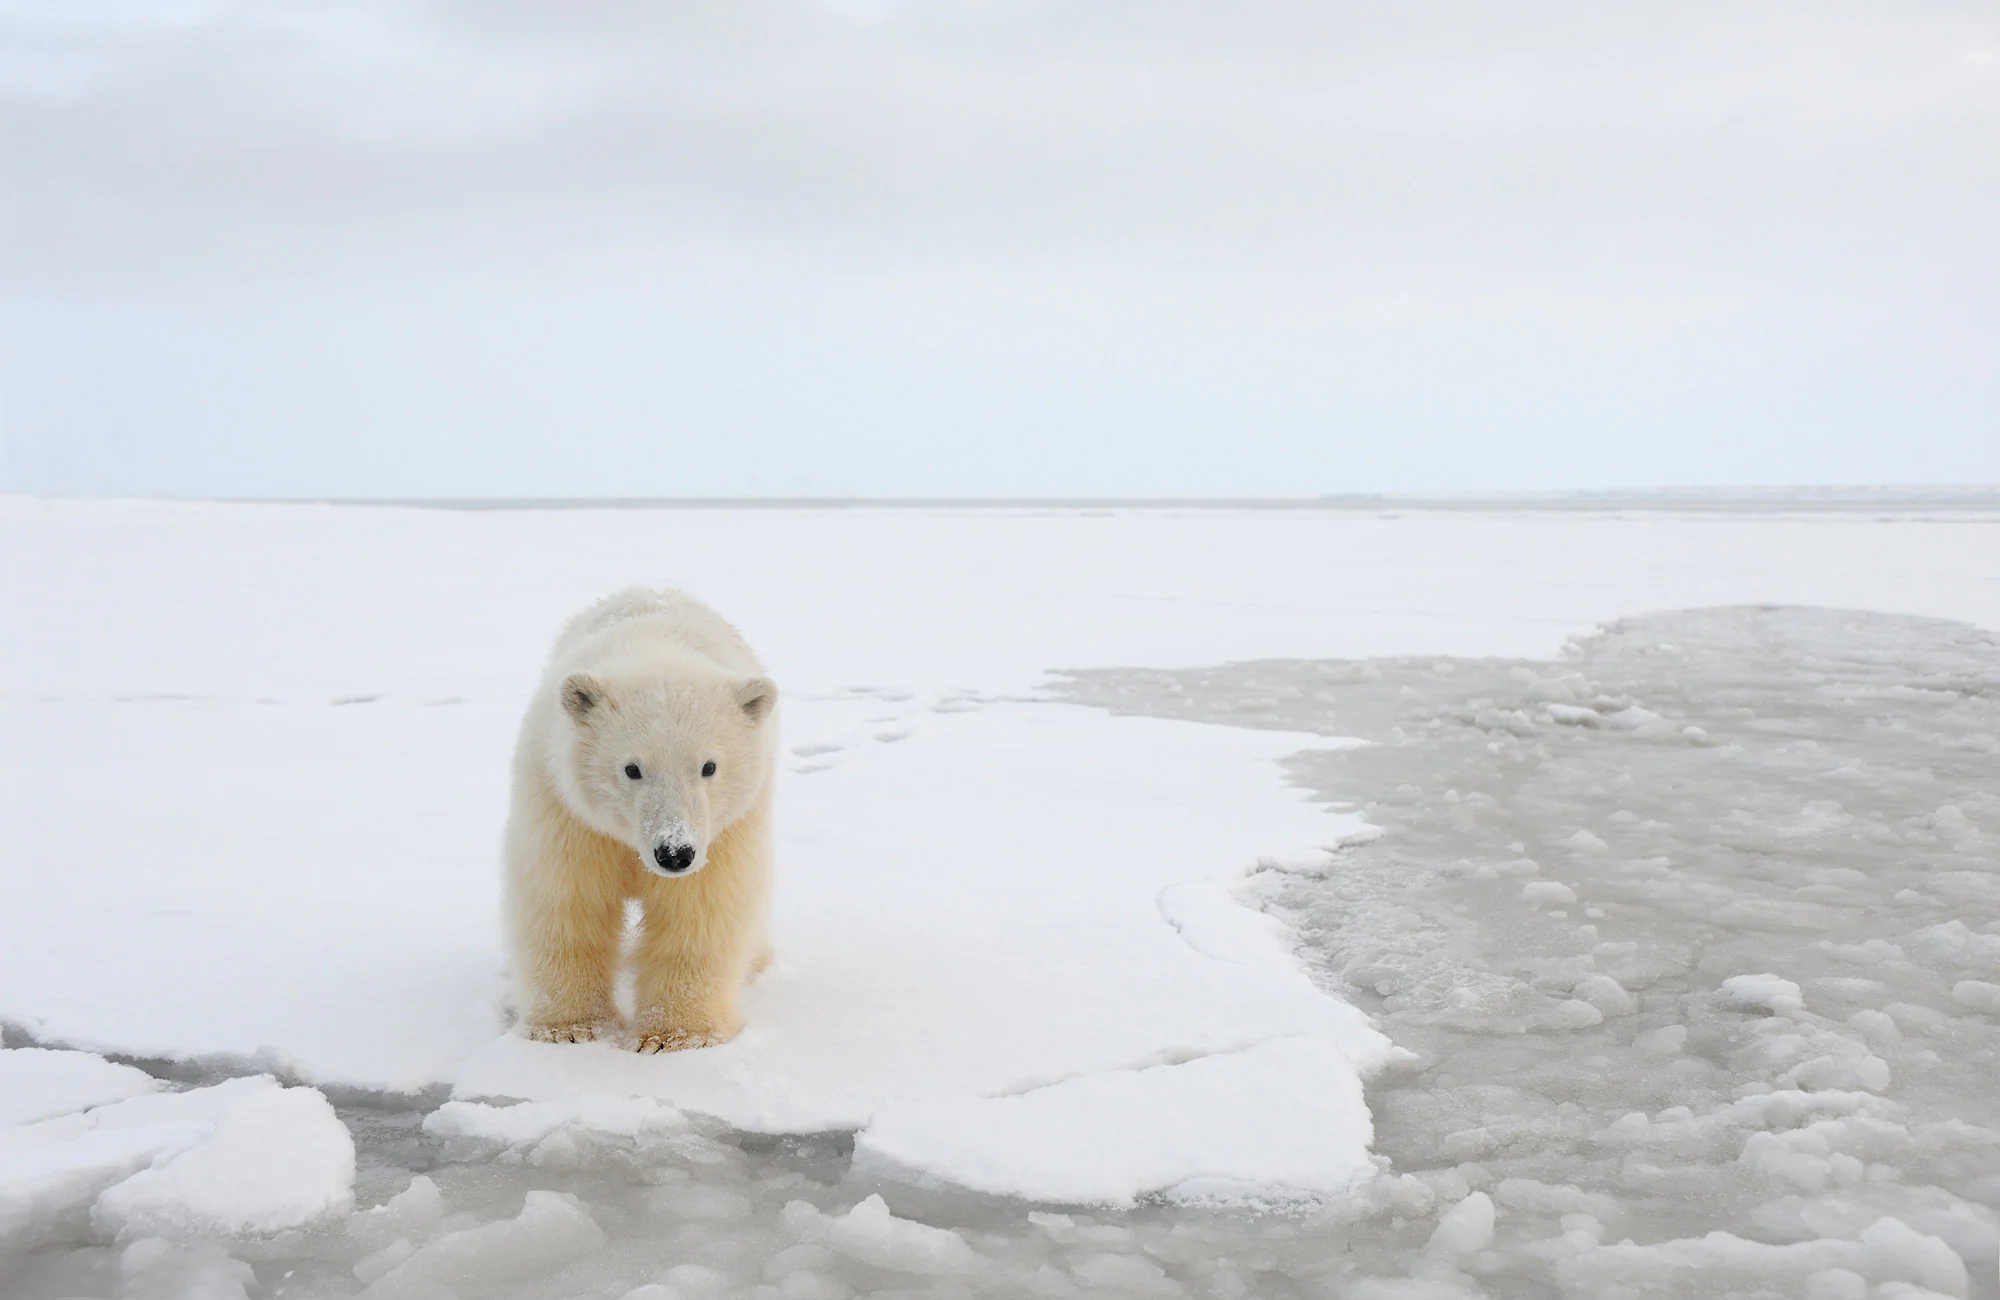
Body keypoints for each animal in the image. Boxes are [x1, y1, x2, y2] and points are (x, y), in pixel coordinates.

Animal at [504, 587, 778, 1053]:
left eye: (709, 766)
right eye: (632, 769)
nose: (674, 853)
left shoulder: (722, 834)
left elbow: (699, 912)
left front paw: (675, 1035)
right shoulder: (567, 812)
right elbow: (565, 900)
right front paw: (568, 1028)